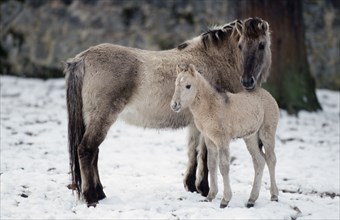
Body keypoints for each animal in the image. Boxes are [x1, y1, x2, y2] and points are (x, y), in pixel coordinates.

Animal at [170, 63, 278, 208]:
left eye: (188, 86)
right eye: (176, 84)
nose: (174, 105)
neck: (211, 107)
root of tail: (268, 95)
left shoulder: (223, 140)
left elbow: (223, 166)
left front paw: (225, 200)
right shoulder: (209, 140)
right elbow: (211, 165)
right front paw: (210, 196)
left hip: (267, 133)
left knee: (271, 160)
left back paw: (274, 196)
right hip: (250, 137)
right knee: (259, 161)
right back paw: (251, 199)